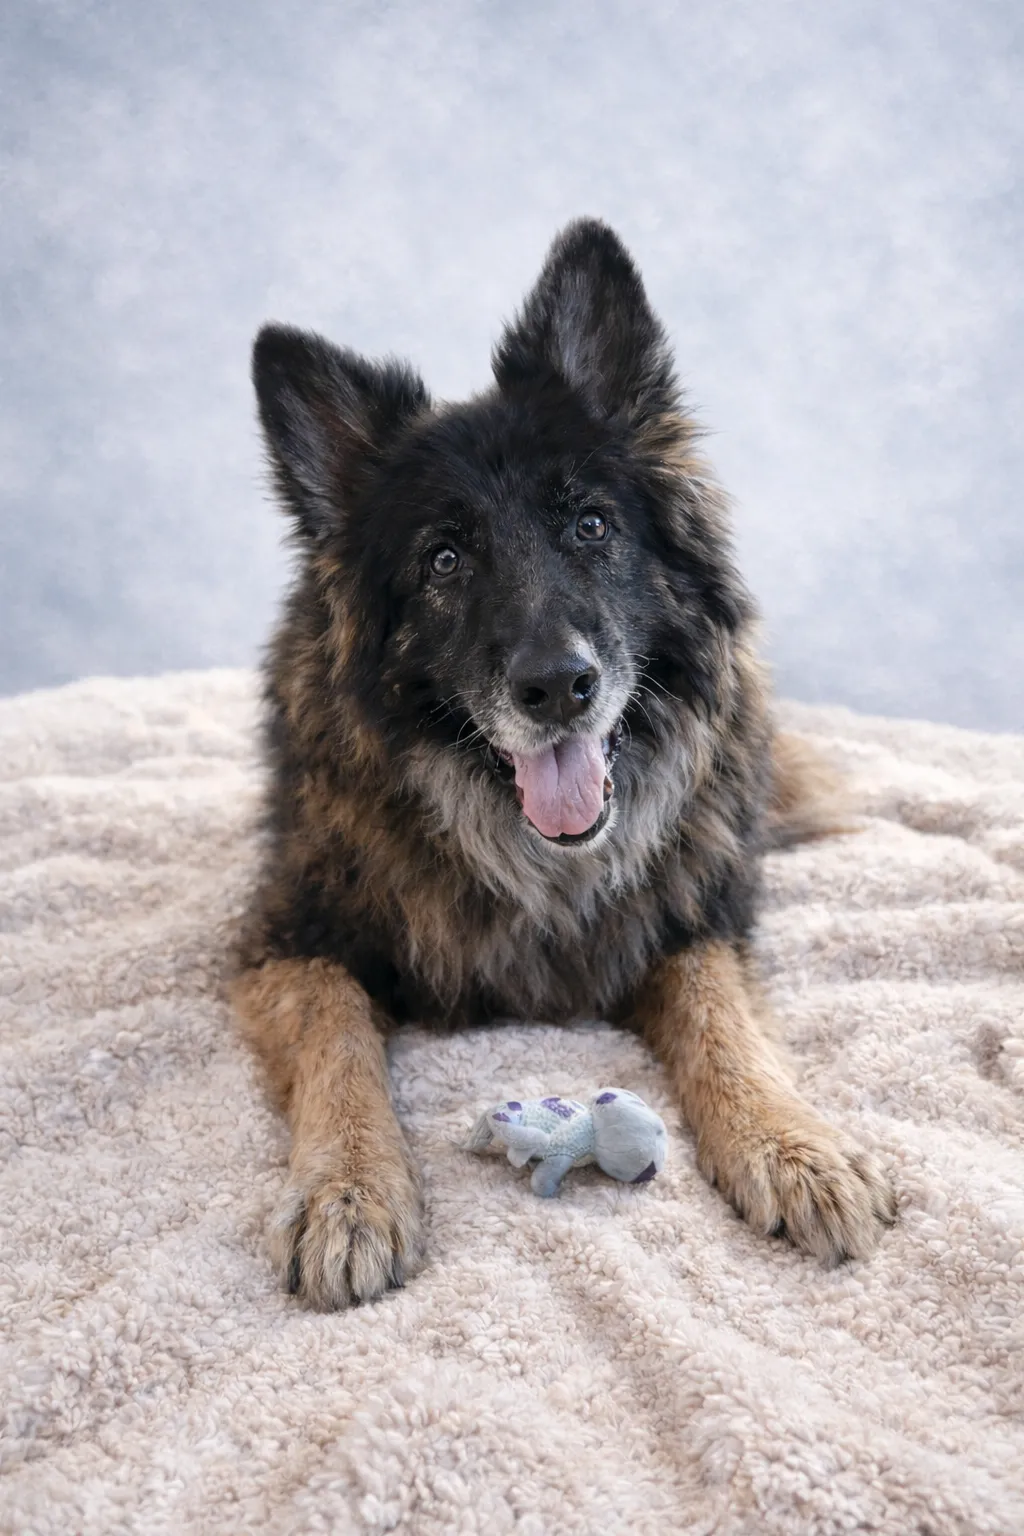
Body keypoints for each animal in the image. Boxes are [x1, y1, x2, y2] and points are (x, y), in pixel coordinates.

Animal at [232, 218, 895, 1309]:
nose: (557, 688)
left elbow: (721, 1022)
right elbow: (338, 1039)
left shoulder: (696, 919)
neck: (534, 860)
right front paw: (349, 1190)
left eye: (590, 525)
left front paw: (791, 1144)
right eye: (444, 560)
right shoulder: (286, 940)